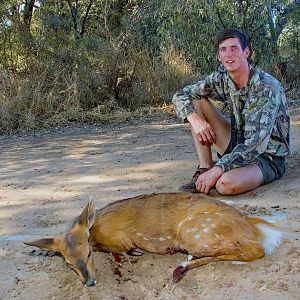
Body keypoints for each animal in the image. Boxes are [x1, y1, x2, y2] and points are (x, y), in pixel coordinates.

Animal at [24, 192, 284, 286]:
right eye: (68, 263)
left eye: (87, 253)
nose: (90, 282)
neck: (96, 232)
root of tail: (252, 226)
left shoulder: (120, 241)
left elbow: (123, 250)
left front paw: (135, 252)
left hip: (194, 232)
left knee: (255, 250)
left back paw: (181, 267)